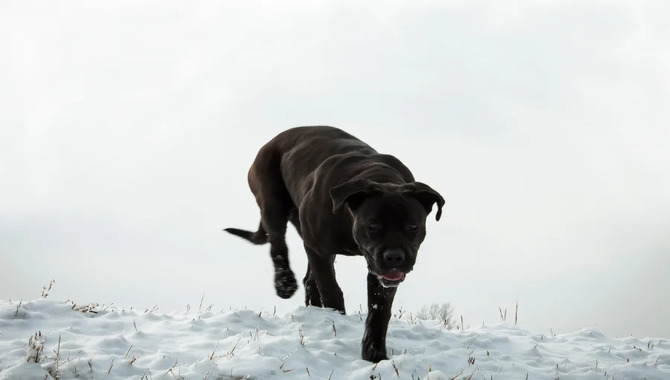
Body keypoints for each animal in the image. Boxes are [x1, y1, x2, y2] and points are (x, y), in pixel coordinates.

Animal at [227, 125, 446, 362]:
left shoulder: (378, 270)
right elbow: (330, 288)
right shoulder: (318, 248)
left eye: (412, 226)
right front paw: (336, 323)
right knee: (278, 245)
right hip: (272, 203)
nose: (395, 256)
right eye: (373, 225)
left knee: (308, 278)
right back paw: (285, 284)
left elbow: (379, 309)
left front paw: (374, 352)